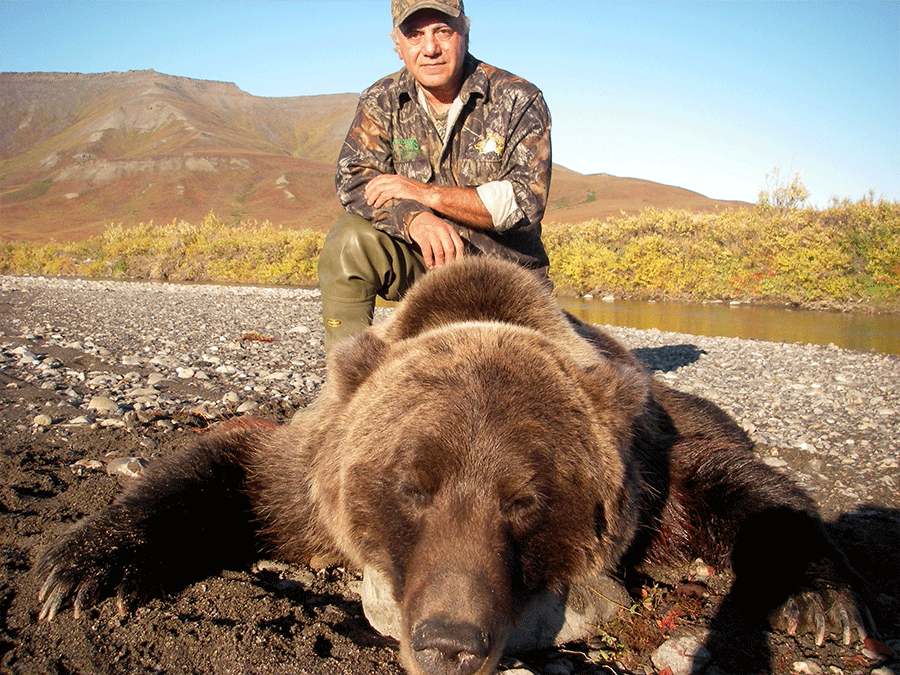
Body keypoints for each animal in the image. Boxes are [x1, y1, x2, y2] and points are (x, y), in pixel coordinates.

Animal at [37, 256, 880, 672]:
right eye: (411, 485)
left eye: (528, 499)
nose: (450, 640)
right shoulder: (307, 474)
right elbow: (230, 463)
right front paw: (79, 570)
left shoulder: (649, 474)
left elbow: (734, 487)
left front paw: (822, 599)